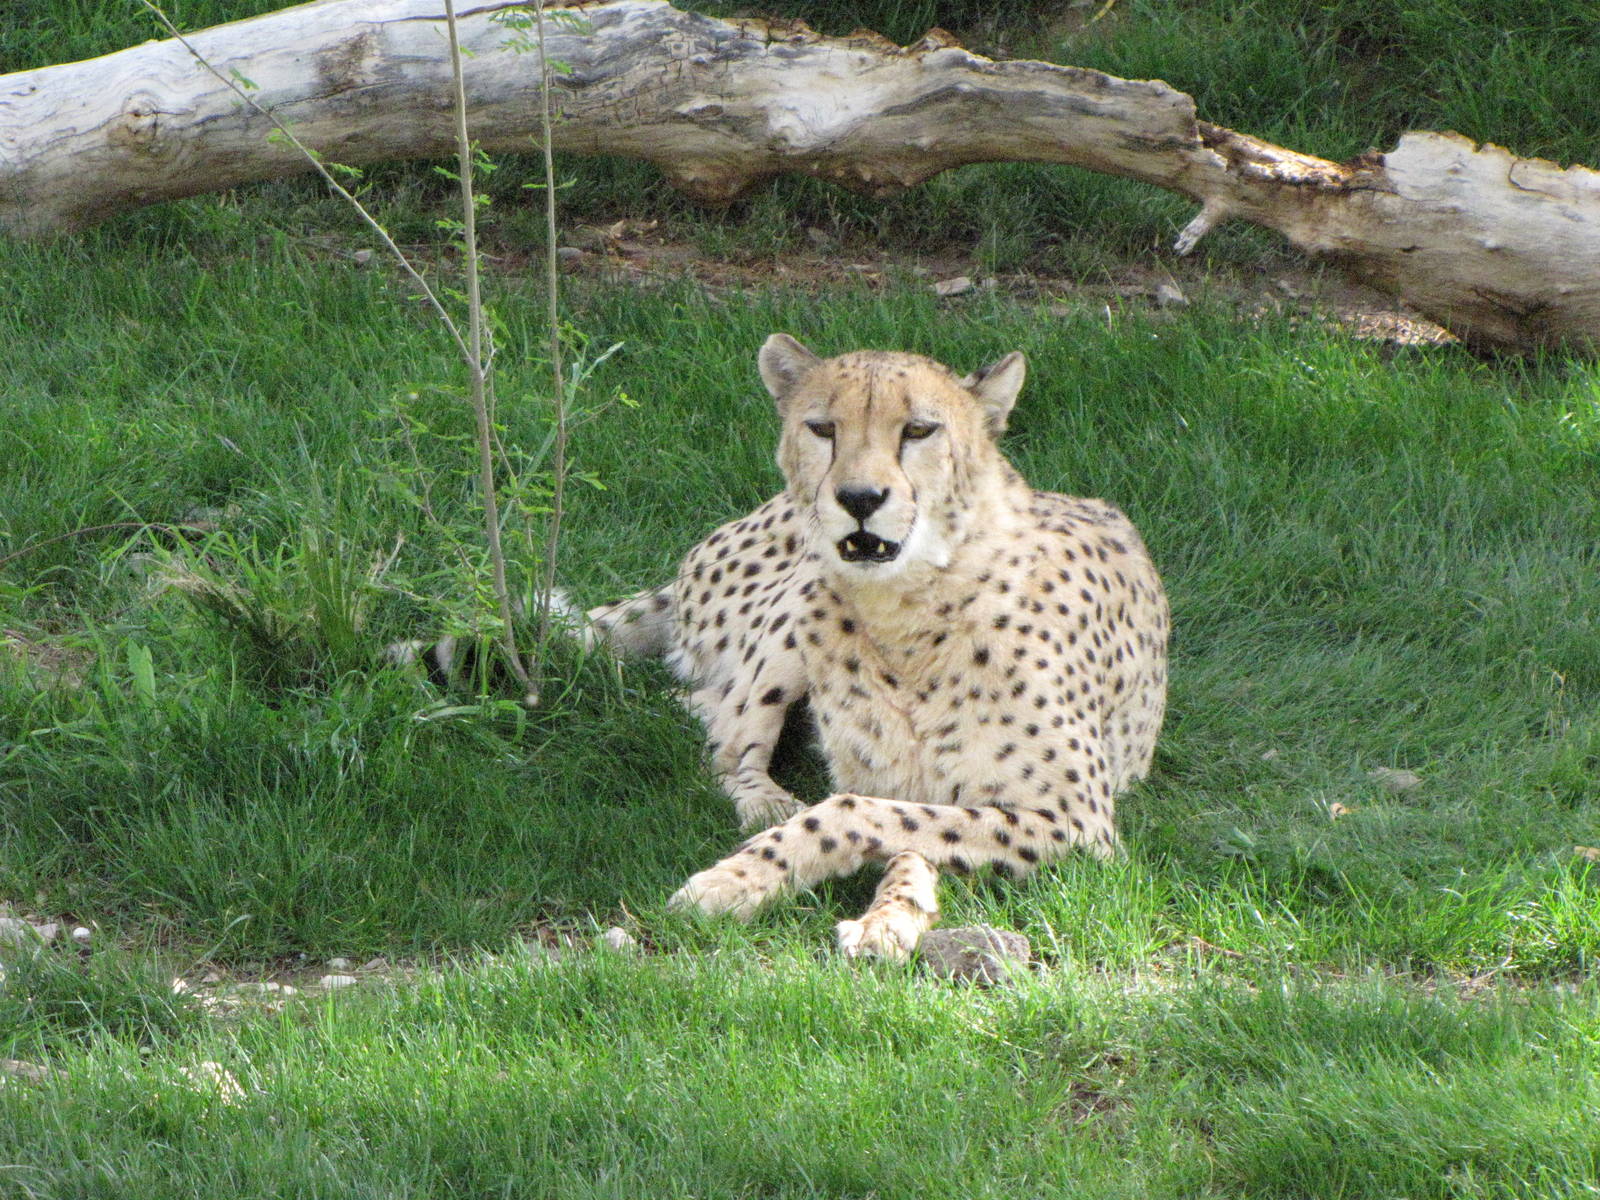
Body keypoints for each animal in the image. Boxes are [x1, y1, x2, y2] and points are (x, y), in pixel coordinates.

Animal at [579, 334, 1170, 961]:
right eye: (822, 428)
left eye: (918, 430)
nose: (860, 497)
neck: (911, 612)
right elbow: (861, 813)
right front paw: (734, 880)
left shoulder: (1077, 822)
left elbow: (886, 824)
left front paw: (888, 918)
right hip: (797, 599)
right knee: (725, 739)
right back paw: (767, 801)